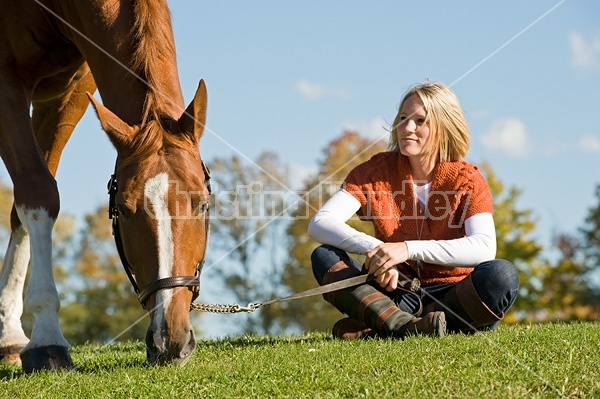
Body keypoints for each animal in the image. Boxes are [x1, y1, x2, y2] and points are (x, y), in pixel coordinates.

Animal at [0, 0, 211, 372]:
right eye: (123, 211)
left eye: (201, 204)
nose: (170, 339)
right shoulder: (6, 82)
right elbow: (38, 190)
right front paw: (47, 337)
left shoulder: (69, 95)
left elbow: (22, 207)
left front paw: (10, 334)